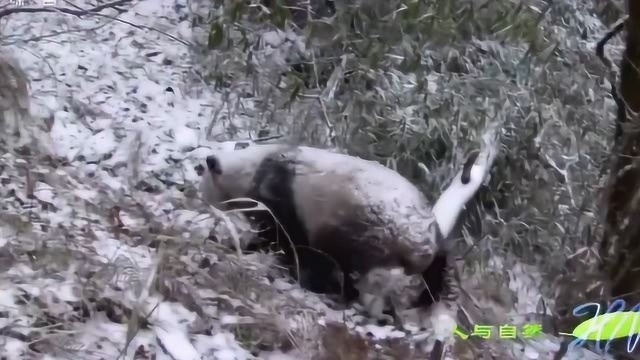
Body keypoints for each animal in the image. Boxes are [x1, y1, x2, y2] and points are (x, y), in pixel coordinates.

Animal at [200, 143, 490, 310]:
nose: (204, 204)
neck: (253, 165)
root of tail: (421, 245)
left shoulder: (282, 195)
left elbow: (284, 235)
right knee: (438, 265)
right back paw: (427, 295)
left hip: (368, 229)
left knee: (347, 262)